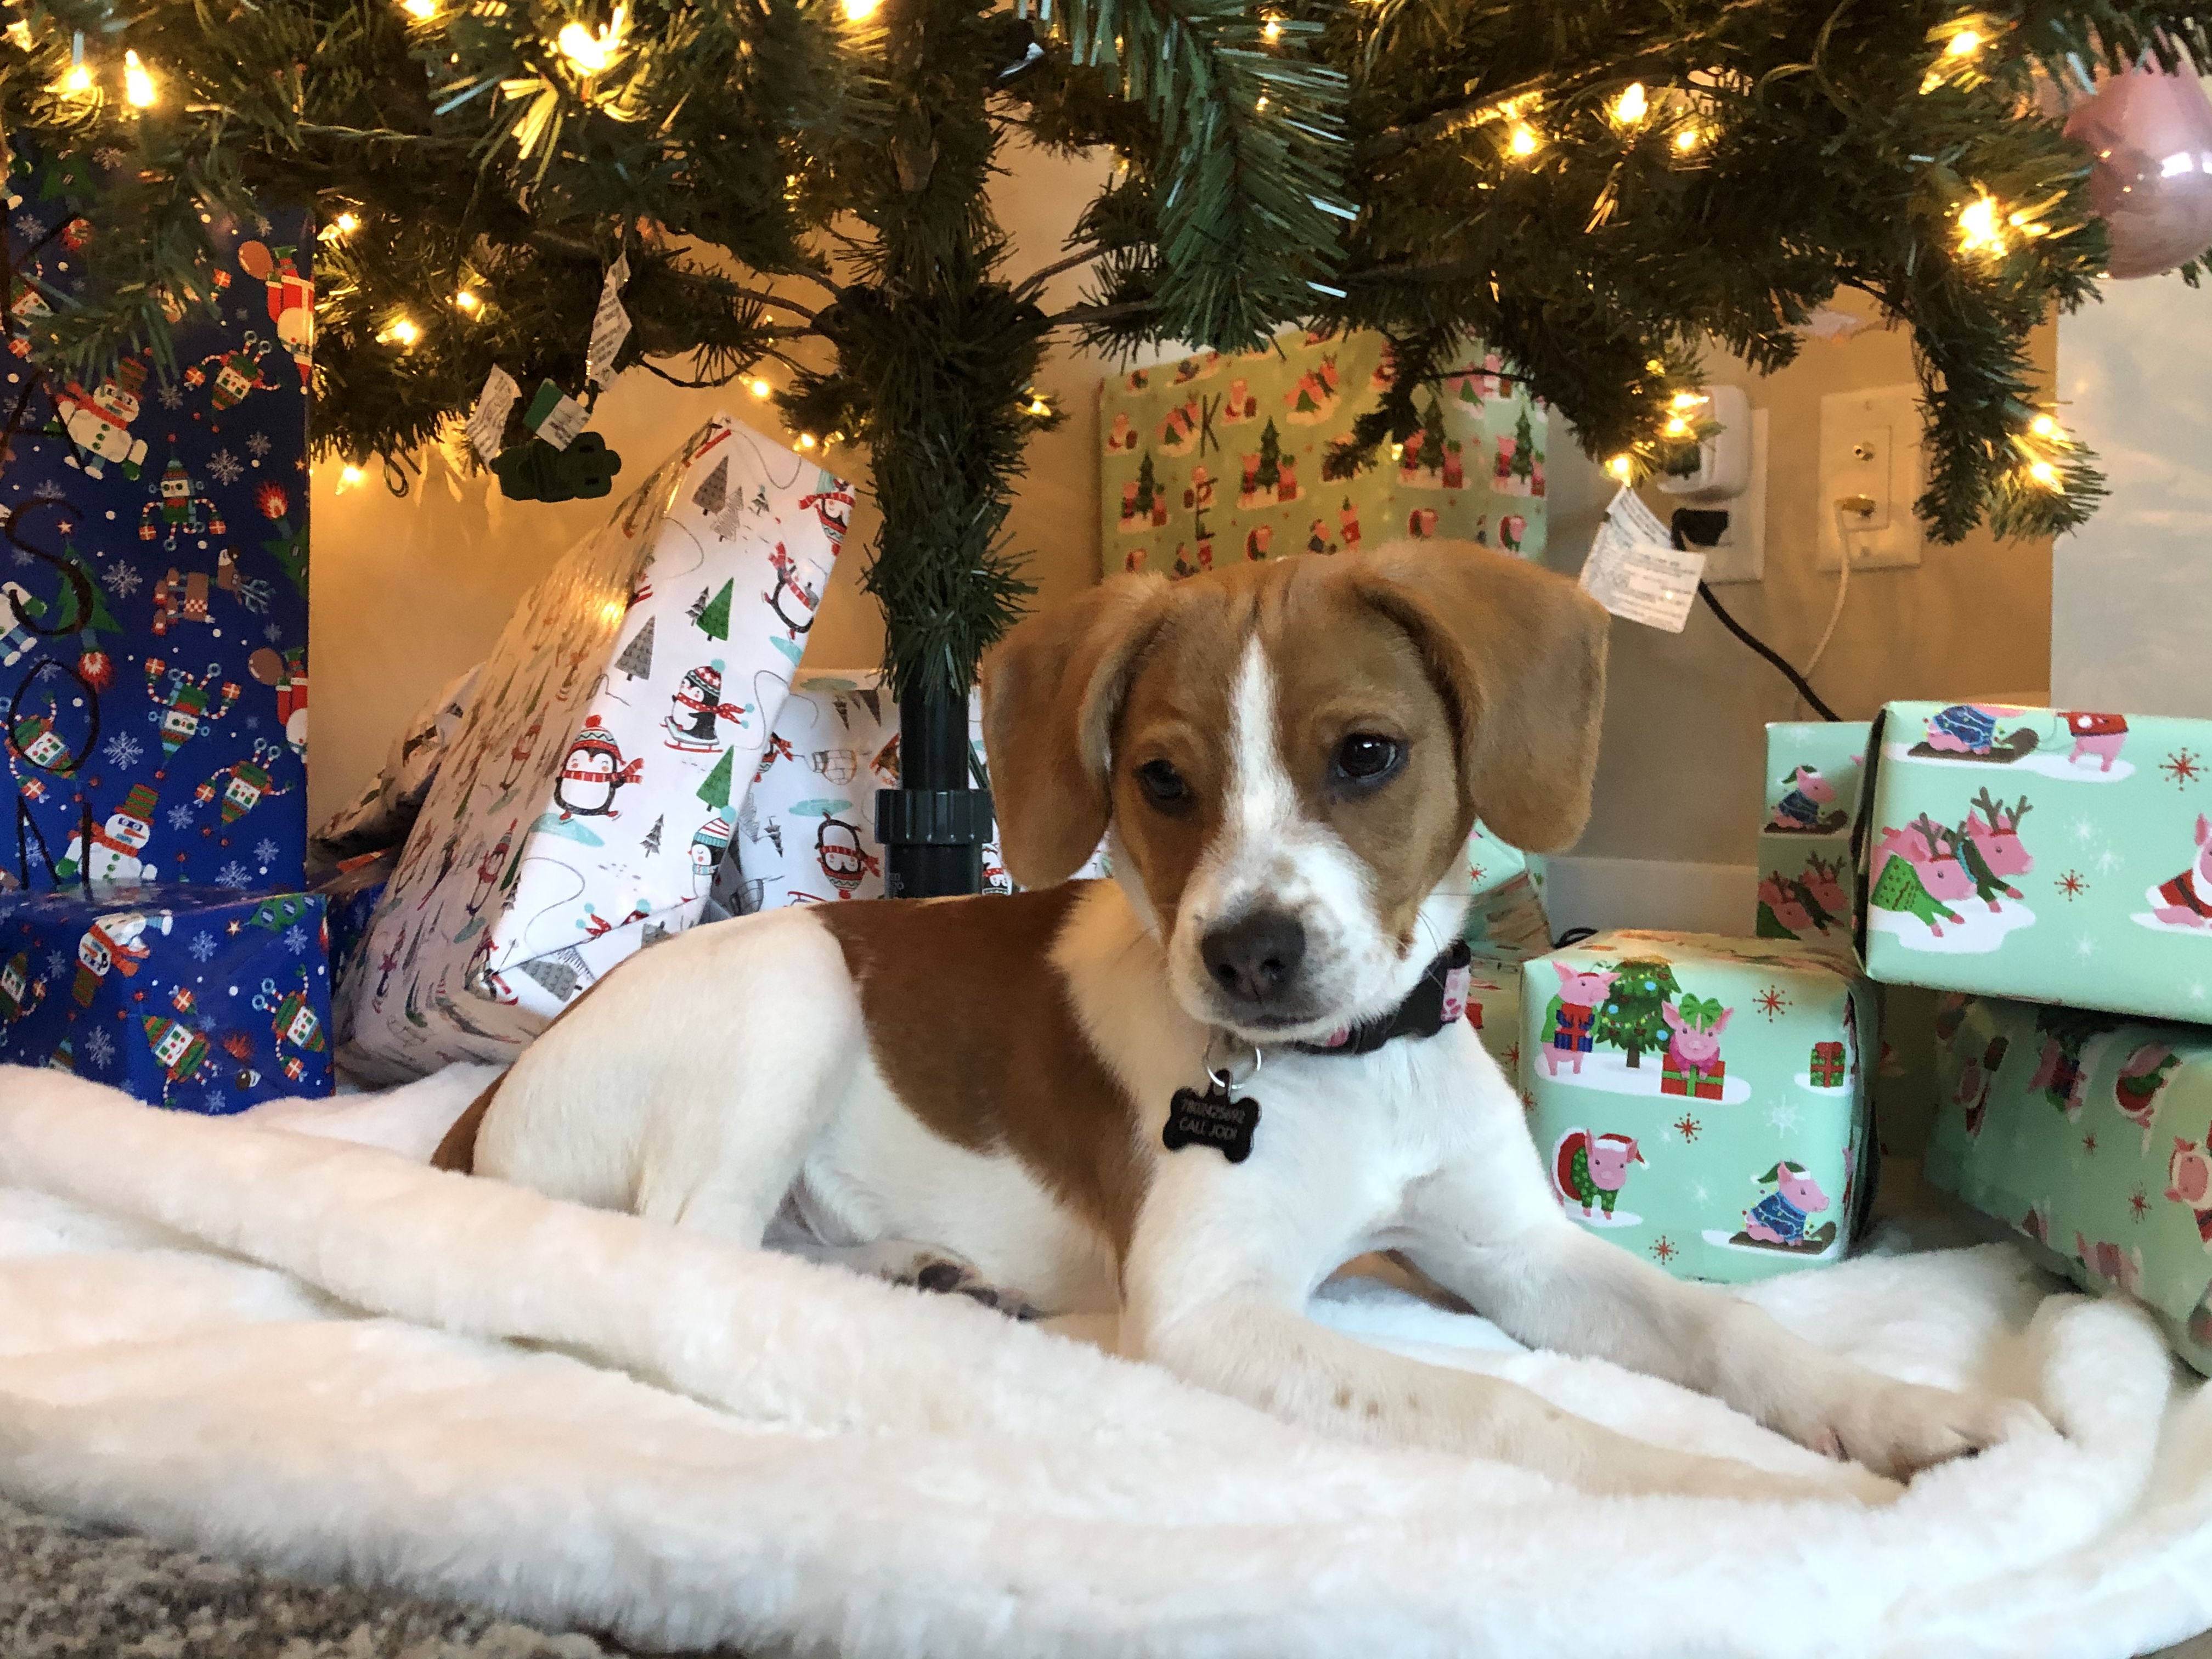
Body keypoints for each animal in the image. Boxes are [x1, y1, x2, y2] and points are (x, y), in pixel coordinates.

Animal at [431, 540, 2046, 1500]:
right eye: (1160, 781)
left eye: (1369, 756)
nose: (1250, 953)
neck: (1350, 1079)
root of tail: (478, 1114)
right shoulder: (1210, 1314)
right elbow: (1512, 1415)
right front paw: (1736, 1490)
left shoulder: (1521, 1257)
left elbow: (1729, 1329)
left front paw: (1893, 1417)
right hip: (794, 990)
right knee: (685, 1259)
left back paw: (918, 1271)